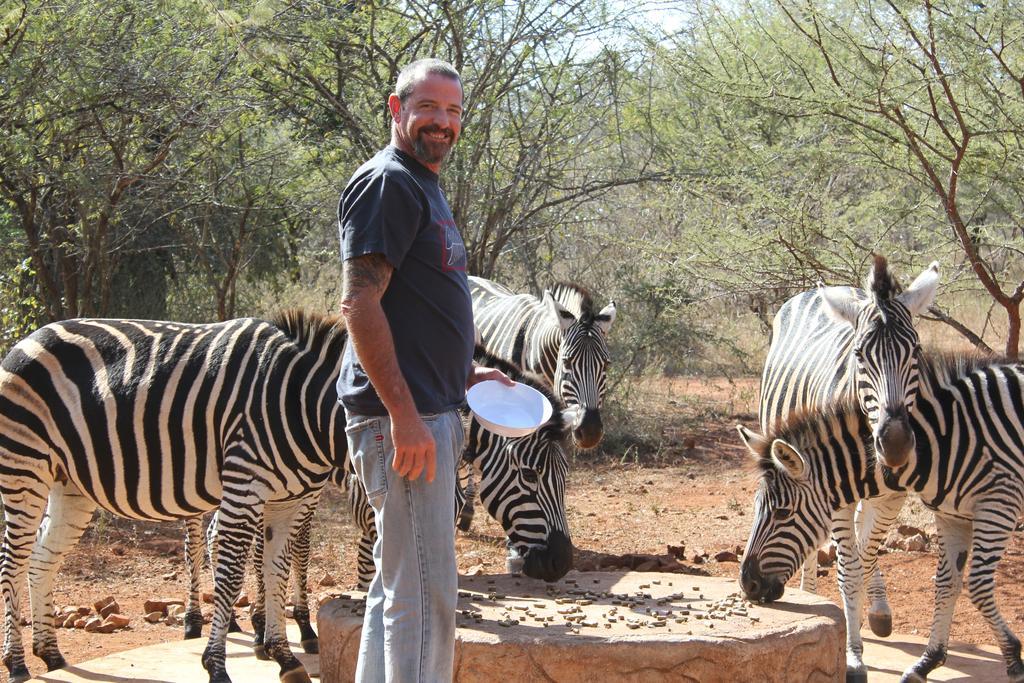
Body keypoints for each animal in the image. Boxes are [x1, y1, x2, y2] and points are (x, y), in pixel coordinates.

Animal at [0, 311, 346, 683]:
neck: (302, 403)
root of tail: (26, 339)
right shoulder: (246, 485)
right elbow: (231, 573)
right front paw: (217, 665)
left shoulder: (290, 500)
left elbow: (276, 569)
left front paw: (284, 656)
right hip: (24, 467)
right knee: (13, 563)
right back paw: (17, 662)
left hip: (69, 485)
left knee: (41, 558)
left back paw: (50, 654)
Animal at [737, 350, 1024, 679]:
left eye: (783, 512)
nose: (747, 584)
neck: (939, 443)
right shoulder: (953, 516)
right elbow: (946, 583)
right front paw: (928, 661)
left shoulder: (999, 504)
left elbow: (976, 585)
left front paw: (1013, 657)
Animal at [761, 254, 937, 651]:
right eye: (859, 356)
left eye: (916, 352)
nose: (896, 445)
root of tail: (812, 291)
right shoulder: (830, 491)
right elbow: (849, 565)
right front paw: (849, 638)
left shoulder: (893, 498)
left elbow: (865, 556)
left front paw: (871, 613)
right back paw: (810, 593)